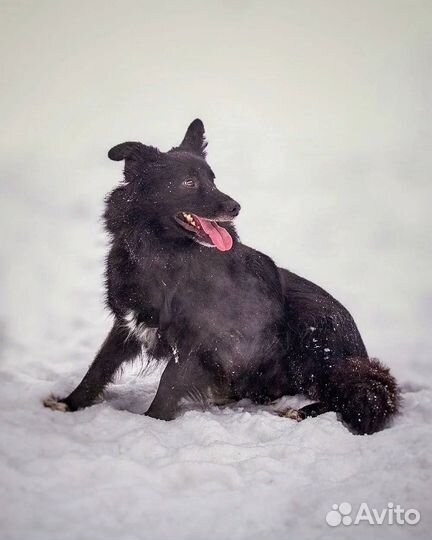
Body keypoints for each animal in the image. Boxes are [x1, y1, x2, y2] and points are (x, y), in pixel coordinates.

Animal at [45, 119, 400, 434]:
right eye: (189, 182)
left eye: (214, 180)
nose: (235, 207)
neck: (163, 257)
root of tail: (359, 353)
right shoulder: (128, 324)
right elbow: (98, 367)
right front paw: (69, 404)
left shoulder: (198, 340)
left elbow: (168, 384)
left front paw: (151, 424)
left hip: (312, 335)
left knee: (351, 395)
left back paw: (299, 411)